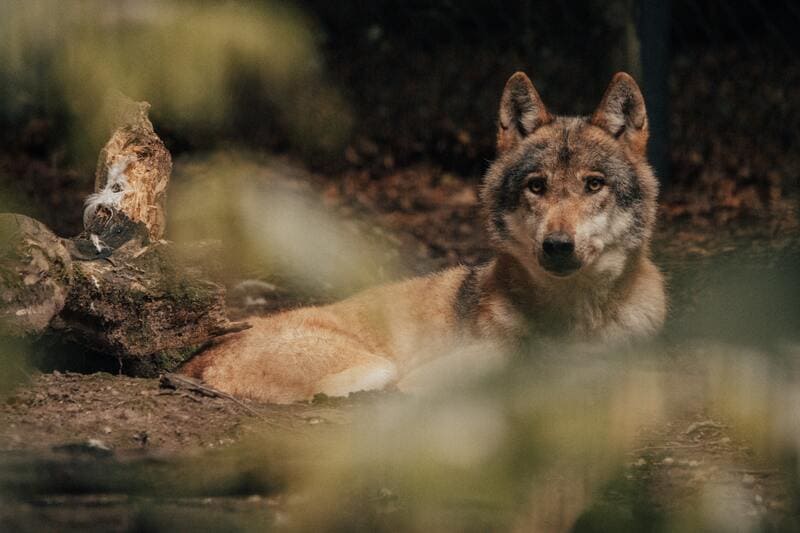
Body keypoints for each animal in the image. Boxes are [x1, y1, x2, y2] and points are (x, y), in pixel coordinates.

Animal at [181, 71, 664, 404]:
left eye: (594, 184)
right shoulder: (430, 378)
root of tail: (199, 355)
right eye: (537, 186)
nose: (558, 245)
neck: (573, 321)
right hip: (378, 367)